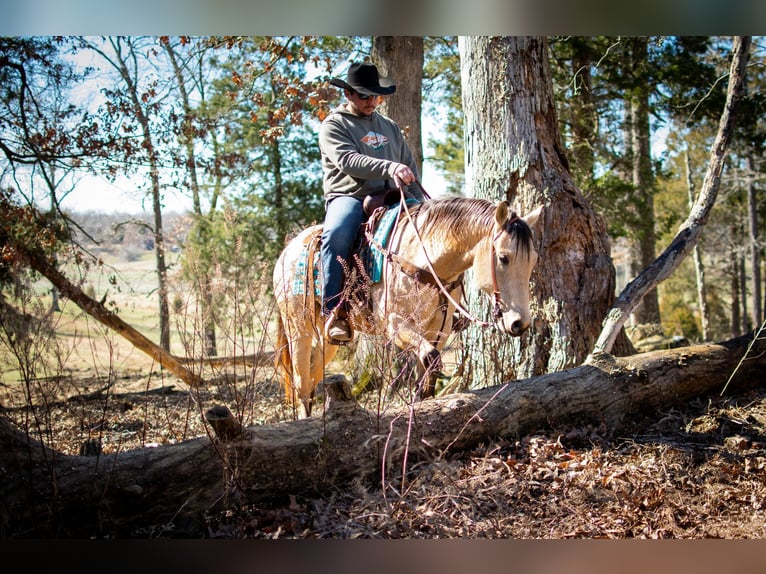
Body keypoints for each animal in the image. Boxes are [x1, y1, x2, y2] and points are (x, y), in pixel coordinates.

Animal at [272, 197, 544, 418]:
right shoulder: (396, 325)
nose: (520, 323)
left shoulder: (439, 329)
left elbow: (427, 373)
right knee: (300, 381)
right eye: (503, 257)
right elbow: (431, 359)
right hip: (298, 328)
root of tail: (287, 251)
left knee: (313, 374)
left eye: (533, 260)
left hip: (326, 340)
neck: (424, 259)